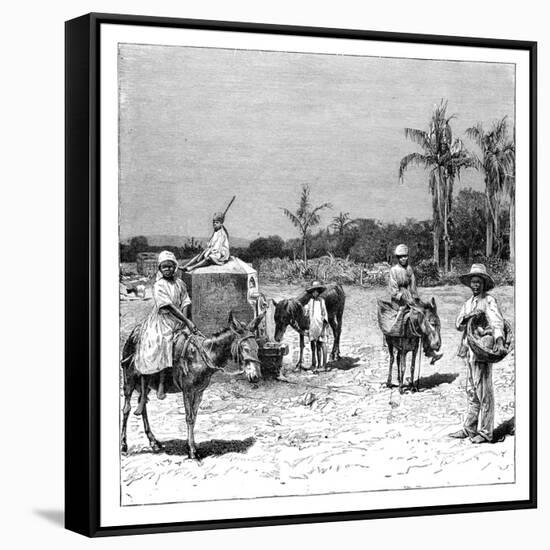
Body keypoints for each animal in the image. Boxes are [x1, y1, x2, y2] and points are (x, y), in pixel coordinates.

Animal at [122, 312, 264, 460]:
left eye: (257, 348)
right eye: (245, 348)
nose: (256, 376)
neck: (201, 358)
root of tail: (133, 335)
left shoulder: (199, 392)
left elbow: (194, 418)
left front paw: (192, 446)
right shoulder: (187, 391)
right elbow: (189, 418)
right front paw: (192, 451)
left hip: (147, 385)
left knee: (142, 404)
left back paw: (153, 442)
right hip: (129, 381)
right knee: (126, 408)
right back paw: (124, 446)